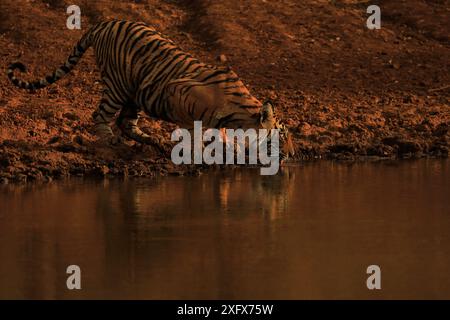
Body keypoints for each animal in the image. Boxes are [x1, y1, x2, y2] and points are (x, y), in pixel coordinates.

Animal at [7, 19, 296, 159]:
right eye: (281, 135)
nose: (293, 154)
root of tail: (103, 23)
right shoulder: (177, 92)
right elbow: (193, 128)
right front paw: (195, 149)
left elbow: (223, 138)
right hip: (117, 86)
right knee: (100, 116)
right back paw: (111, 142)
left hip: (134, 94)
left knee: (125, 122)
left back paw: (154, 142)